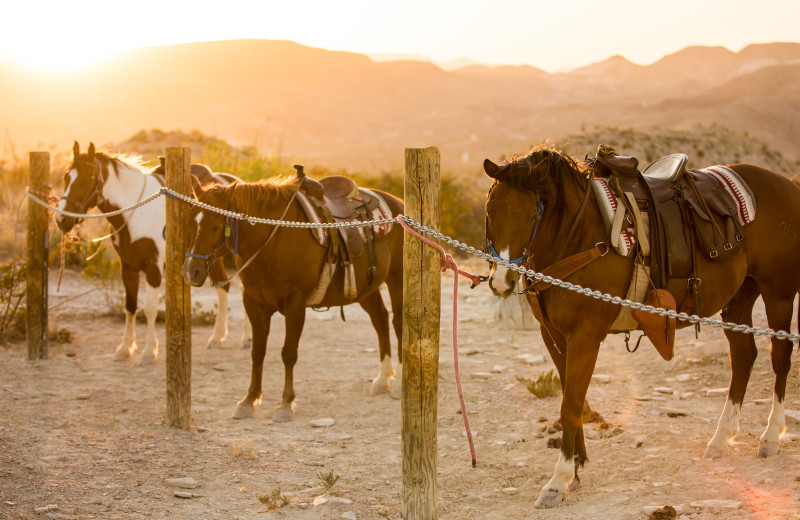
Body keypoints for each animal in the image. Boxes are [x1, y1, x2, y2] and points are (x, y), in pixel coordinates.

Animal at [55, 140, 250, 364]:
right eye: (65, 177)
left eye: (85, 179)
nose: (61, 219)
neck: (135, 212)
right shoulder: (128, 267)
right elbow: (130, 306)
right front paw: (125, 348)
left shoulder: (153, 267)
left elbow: (149, 308)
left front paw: (149, 351)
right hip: (211, 259)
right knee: (223, 288)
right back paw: (217, 337)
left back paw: (246, 337)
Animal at [182, 177, 406, 420]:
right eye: (190, 223)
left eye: (215, 226)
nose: (191, 272)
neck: (273, 241)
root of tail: (400, 205)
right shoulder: (253, 303)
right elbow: (257, 352)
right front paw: (249, 399)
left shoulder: (295, 305)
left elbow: (288, 353)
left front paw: (286, 404)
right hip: (366, 288)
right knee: (380, 320)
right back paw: (382, 379)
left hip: (397, 280)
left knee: (398, 323)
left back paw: (399, 384)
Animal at [482, 144, 800, 510]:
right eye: (489, 212)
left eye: (532, 217)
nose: (501, 281)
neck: (580, 236)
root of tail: (789, 185)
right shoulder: (553, 335)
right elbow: (571, 398)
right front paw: (576, 467)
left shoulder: (586, 336)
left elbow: (571, 404)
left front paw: (559, 480)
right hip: (740, 298)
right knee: (744, 357)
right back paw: (721, 439)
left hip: (778, 293)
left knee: (780, 356)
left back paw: (771, 436)